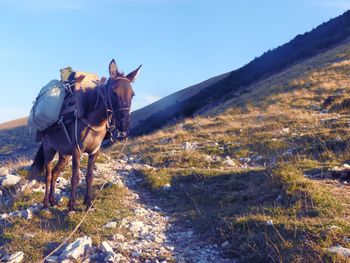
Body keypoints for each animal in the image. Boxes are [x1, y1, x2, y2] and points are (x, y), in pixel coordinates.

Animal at [28, 59, 141, 212]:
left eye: (132, 94)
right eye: (114, 92)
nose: (124, 124)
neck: (94, 121)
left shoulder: (94, 152)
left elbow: (89, 176)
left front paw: (88, 202)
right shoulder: (77, 151)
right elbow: (75, 177)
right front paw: (71, 205)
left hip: (64, 155)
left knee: (56, 173)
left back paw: (52, 201)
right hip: (49, 151)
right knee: (49, 175)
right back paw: (45, 202)